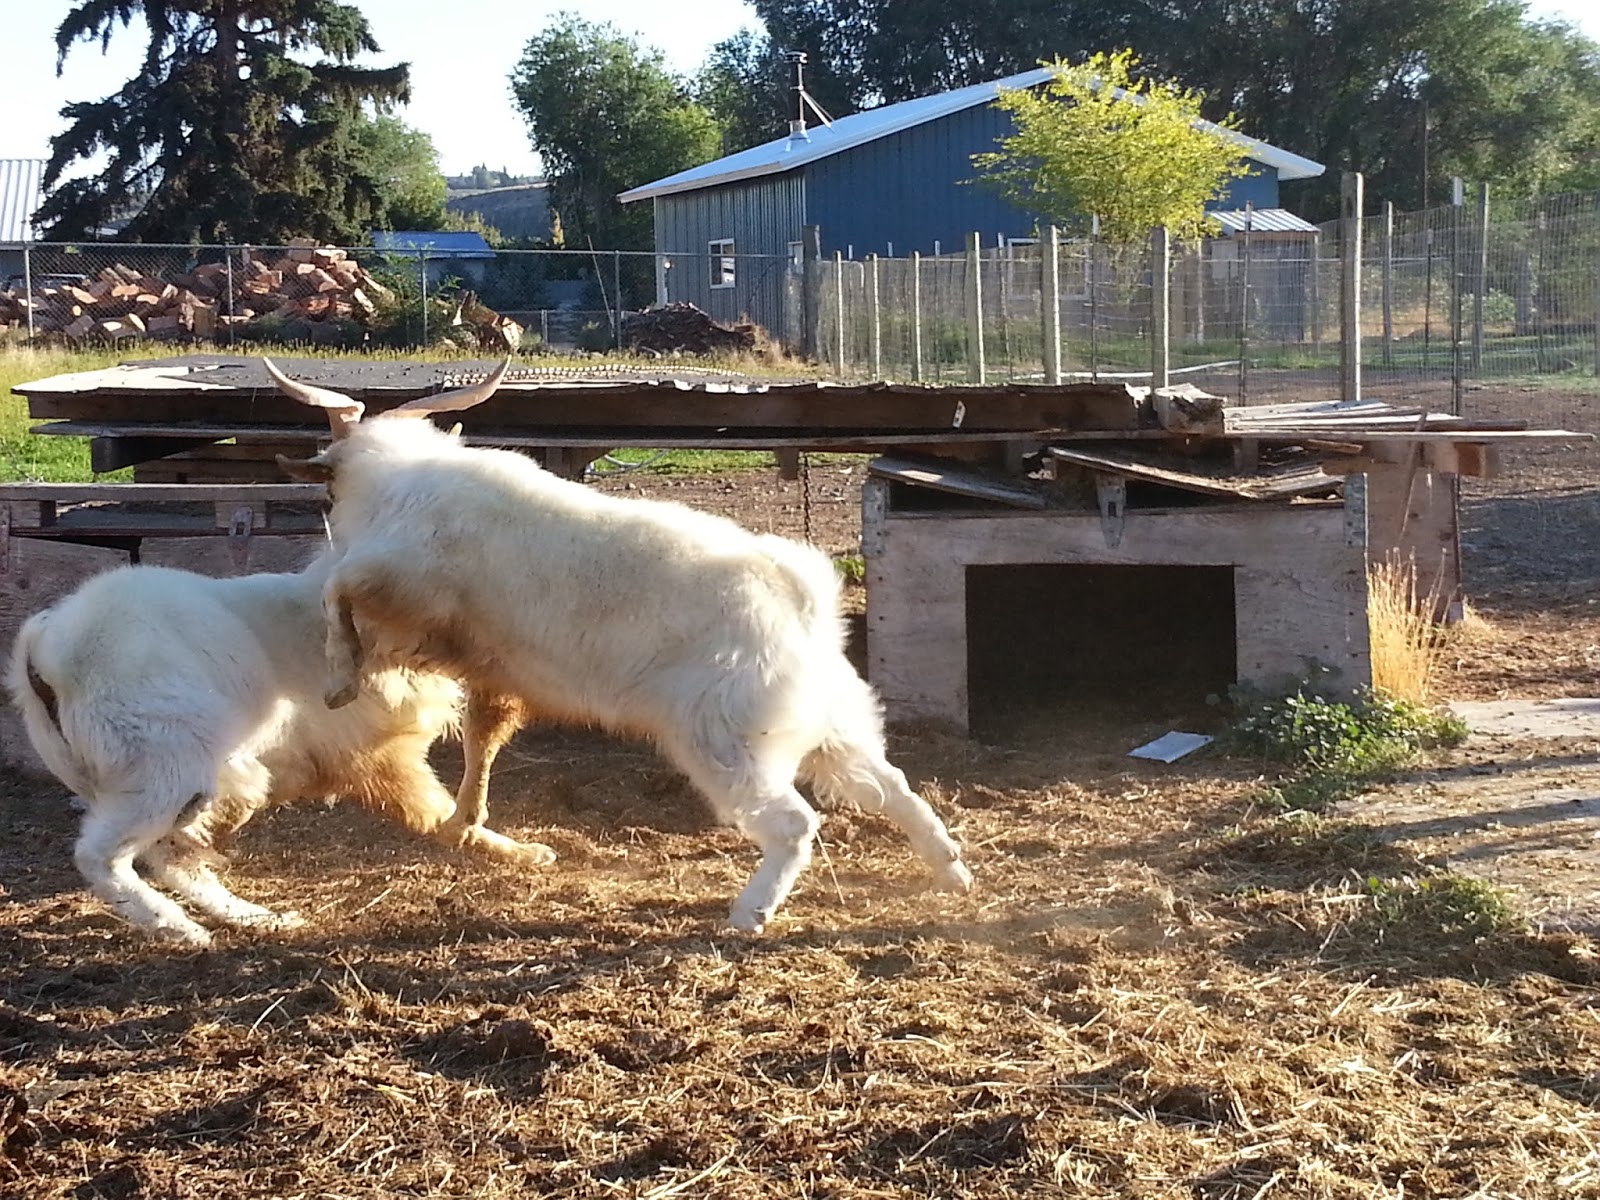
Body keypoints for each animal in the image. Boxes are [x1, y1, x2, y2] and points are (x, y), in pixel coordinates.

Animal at [6, 550, 555, 947]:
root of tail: (45, 651)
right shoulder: (379, 760)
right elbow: (442, 817)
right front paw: (519, 850)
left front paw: (523, 851)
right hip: (169, 770)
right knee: (101, 856)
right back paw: (179, 928)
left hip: (201, 786)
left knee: (172, 857)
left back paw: (254, 919)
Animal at [267, 358, 973, 933]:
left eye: (327, 489)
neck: (401, 485)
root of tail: (796, 594)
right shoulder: (489, 666)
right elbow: (481, 737)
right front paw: (463, 825)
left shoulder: (396, 582)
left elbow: (335, 591)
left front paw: (340, 681)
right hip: (832, 725)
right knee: (888, 786)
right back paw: (951, 870)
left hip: (725, 743)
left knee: (795, 823)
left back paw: (750, 912)